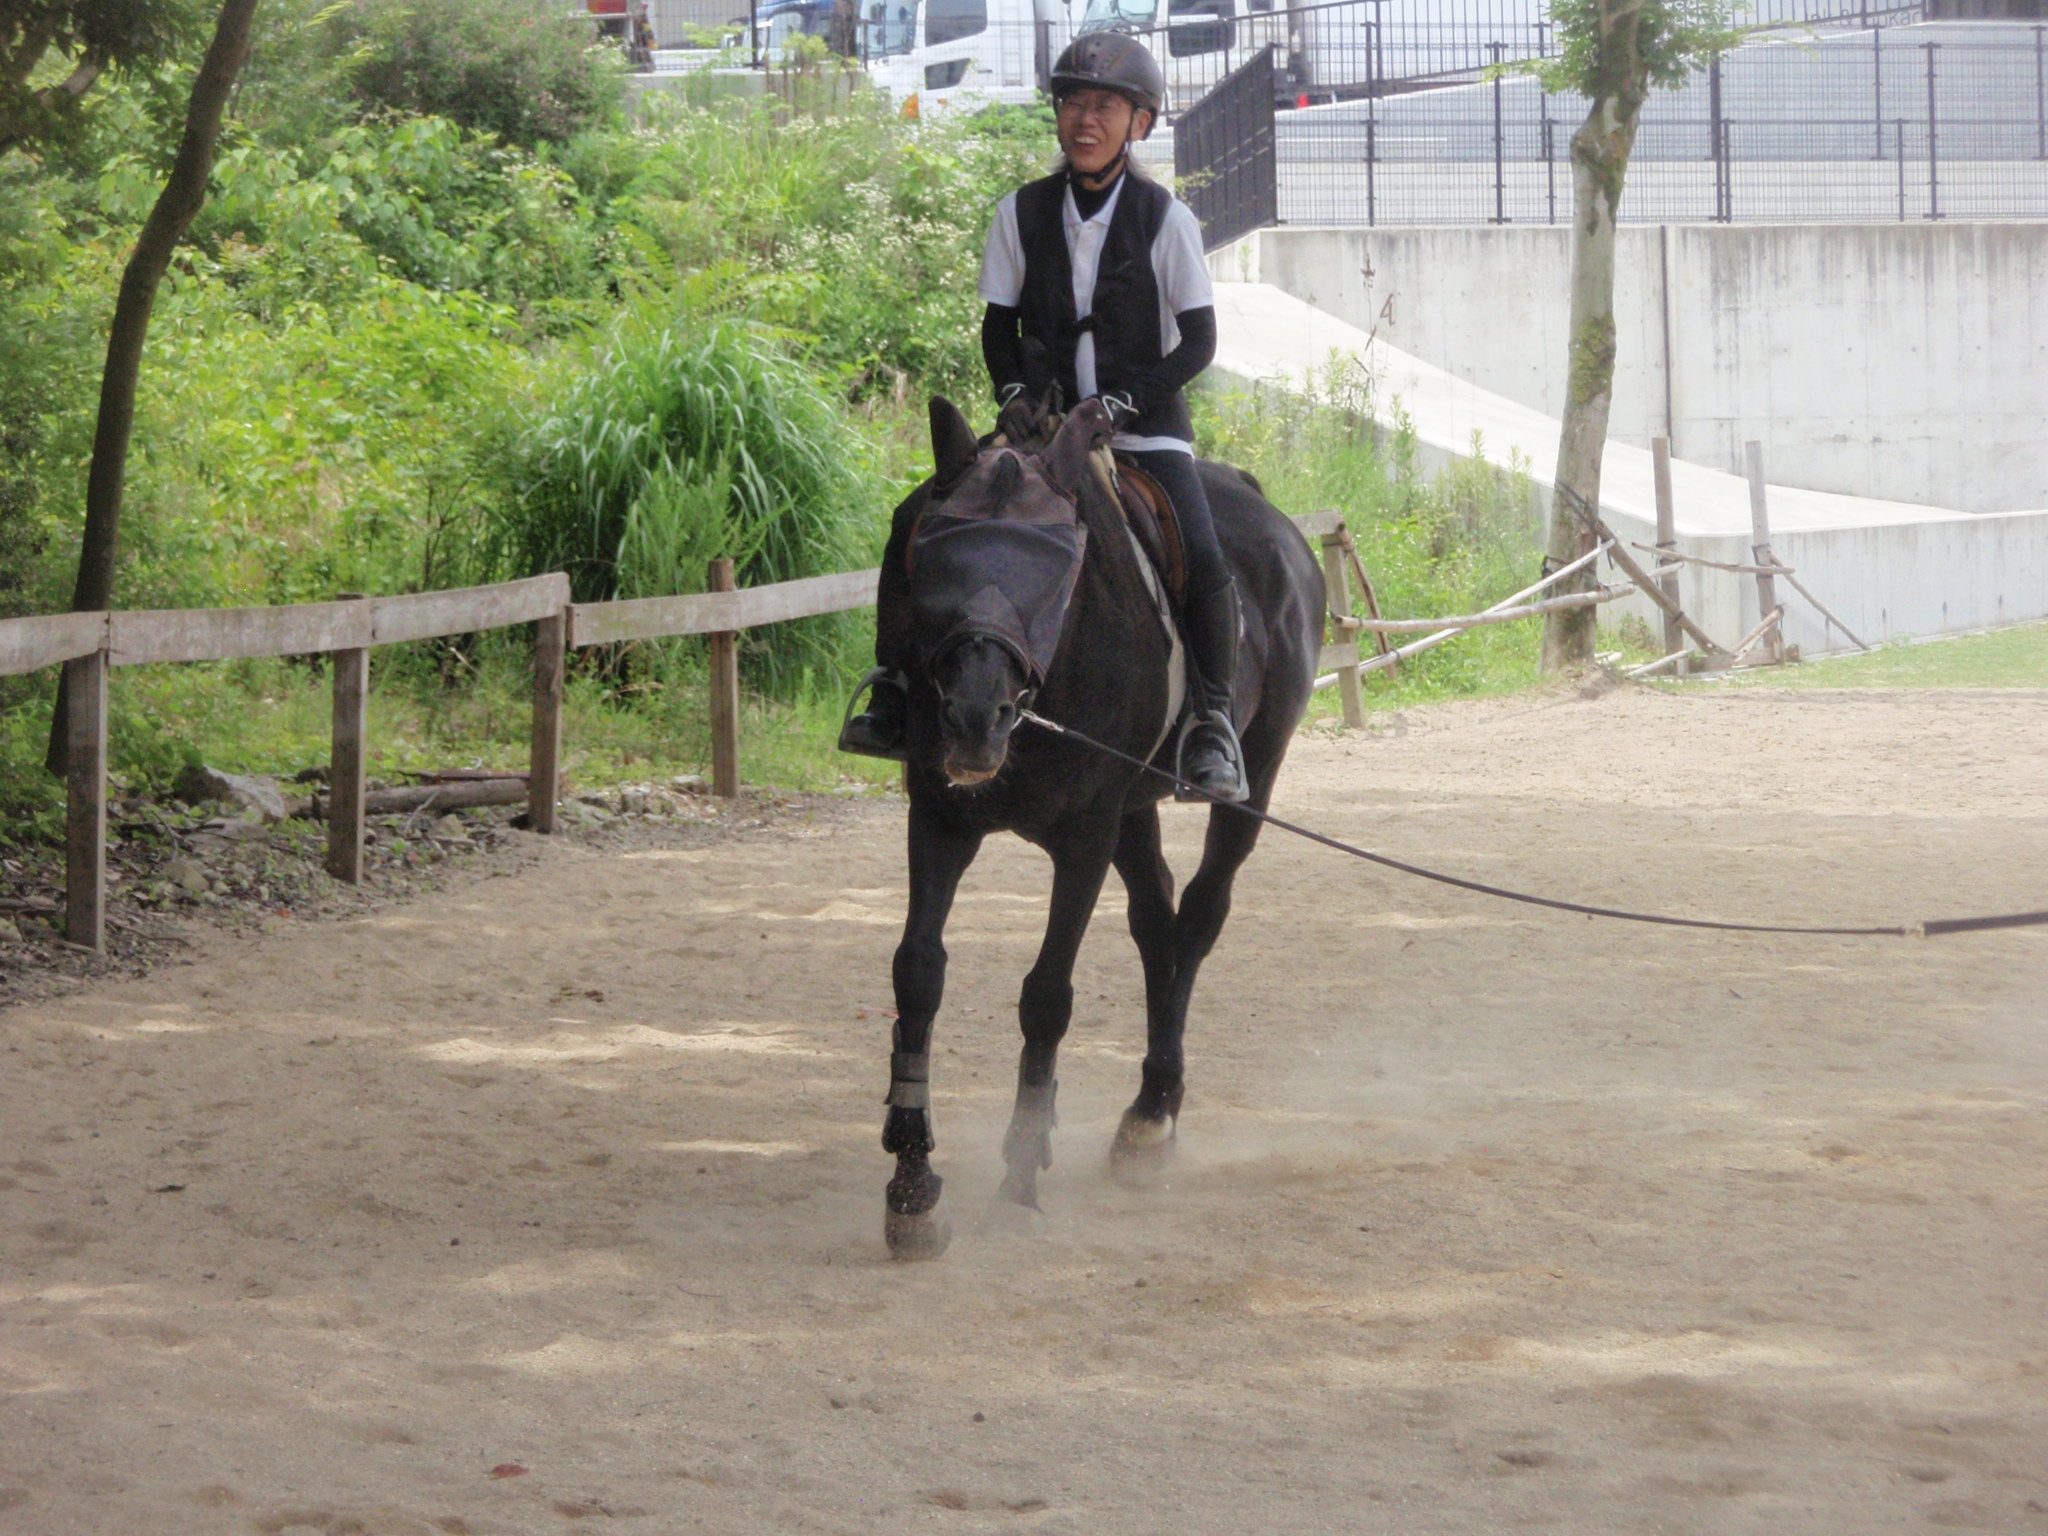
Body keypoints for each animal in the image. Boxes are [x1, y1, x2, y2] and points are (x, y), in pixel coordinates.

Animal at [878, 395, 1324, 1259]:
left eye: (1057, 572)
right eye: (935, 555)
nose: (975, 719)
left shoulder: (1083, 835)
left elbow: (1047, 997)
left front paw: (1017, 1188)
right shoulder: (940, 816)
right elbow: (918, 972)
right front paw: (913, 1187)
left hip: (1248, 777)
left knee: (1200, 915)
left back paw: (1153, 1113)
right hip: (1132, 810)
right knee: (1157, 918)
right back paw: (1143, 1113)